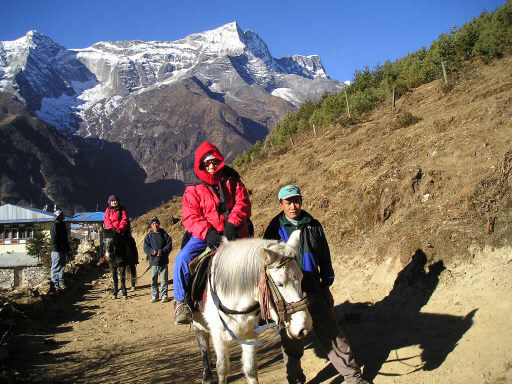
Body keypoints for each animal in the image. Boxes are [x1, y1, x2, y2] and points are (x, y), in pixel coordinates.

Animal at [192, 231, 312, 384]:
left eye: (301, 278)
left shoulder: (249, 334)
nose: (304, 327)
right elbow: (222, 367)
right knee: (203, 344)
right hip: (198, 323)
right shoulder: (218, 333)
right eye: (279, 284)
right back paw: (207, 375)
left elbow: (250, 369)